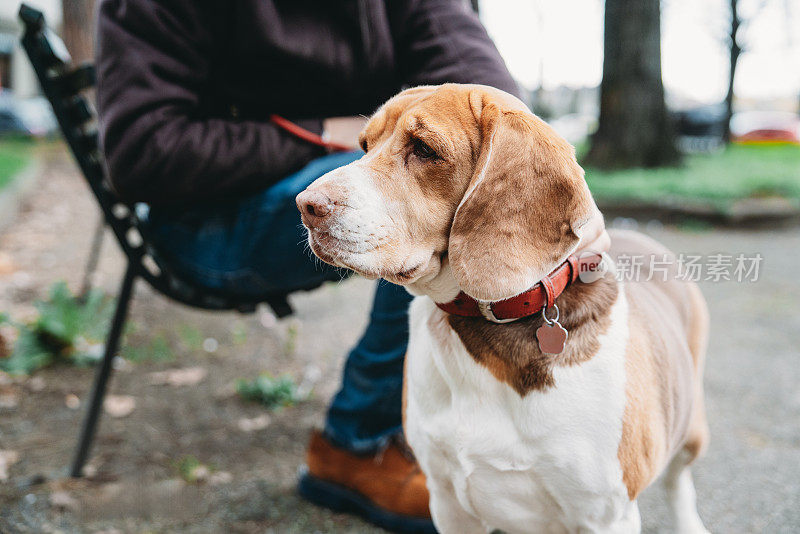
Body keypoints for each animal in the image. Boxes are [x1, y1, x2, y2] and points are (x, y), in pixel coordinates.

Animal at [296, 85, 708, 534]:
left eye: (423, 149)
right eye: (365, 146)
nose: (305, 205)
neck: (479, 326)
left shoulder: (604, 515)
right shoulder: (448, 502)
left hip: (691, 431)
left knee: (680, 482)